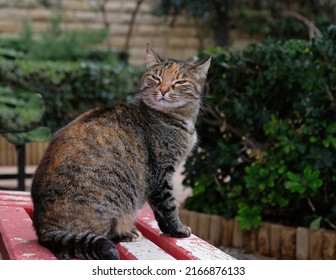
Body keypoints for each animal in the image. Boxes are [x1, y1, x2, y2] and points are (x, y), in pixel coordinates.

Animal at [30, 44, 210, 260]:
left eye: (180, 81)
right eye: (156, 78)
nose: (163, 90)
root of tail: (44, 229)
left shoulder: (157, 179)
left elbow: (159, 210)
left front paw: (167, 230)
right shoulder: (161, 173)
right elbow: (168, 206)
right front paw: (178, 230)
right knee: (102, 233)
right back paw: (127, 233)